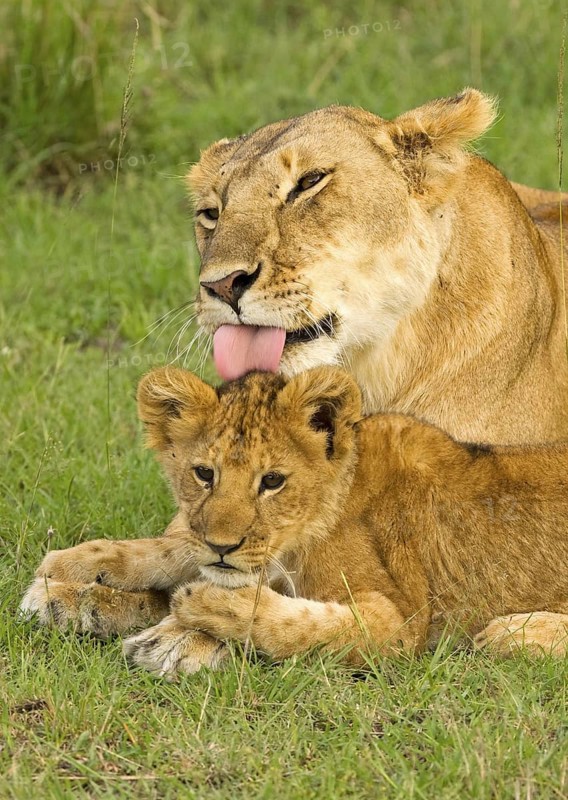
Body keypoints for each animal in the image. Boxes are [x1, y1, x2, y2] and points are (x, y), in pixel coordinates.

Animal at [21, 367, 568, 676]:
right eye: (204, 474)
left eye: (272, 481)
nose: (223, 546)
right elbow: (173, 545)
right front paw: (69, 574)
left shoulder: (401, 621)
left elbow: (302, 623)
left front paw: (199, 613)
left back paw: (517, 634)